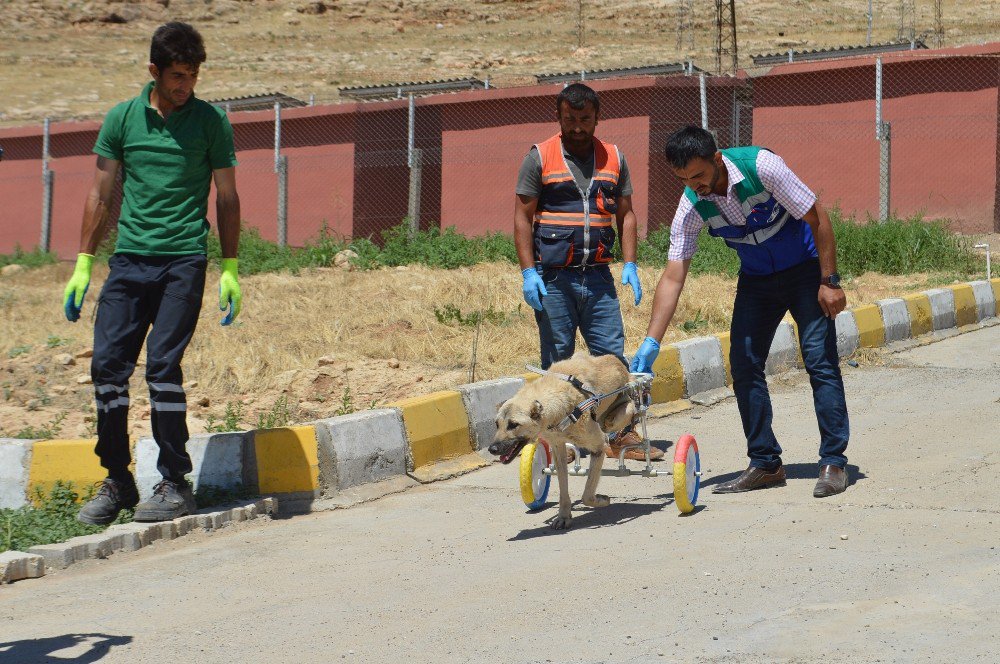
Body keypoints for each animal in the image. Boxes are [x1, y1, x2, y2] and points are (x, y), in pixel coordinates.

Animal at [488, 352, 636, 528]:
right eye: (497, 424)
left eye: (513, 425)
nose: (492, 449)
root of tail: (619, 363)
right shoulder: (558, 449)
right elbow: (563, 487)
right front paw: (564, 515)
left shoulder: (599, 446)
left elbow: (587, 495)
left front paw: (601, 500)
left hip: (620, 414)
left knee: (623, 416)